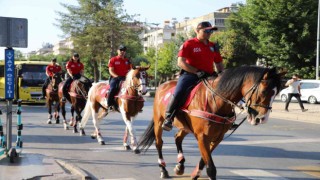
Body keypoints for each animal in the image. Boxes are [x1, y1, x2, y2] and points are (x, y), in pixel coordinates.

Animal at [136, 66, 286, 180]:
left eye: (276, 93)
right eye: (264, 91)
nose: (262, 118)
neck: (217, 101)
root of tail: (163, 85)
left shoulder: (217, 137)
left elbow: (204, 161)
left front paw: (195, 173)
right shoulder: (203, 137)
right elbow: (211, 168)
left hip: (185, 127)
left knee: (177, 138)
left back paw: (180, 165)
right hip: (159, 121)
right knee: (159, 143)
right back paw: (163, 169)